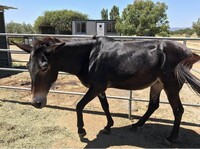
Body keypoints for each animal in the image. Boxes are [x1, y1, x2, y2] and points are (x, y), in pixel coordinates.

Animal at [11, 36, 199, 143]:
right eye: (27, 66)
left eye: (45, 67)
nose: (36, 102)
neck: (88, 56)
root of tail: (188, 51)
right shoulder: (99, 88)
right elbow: (105, 106)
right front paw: (108, 126)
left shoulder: (96, 87)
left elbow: (79, 105)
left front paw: (81, 130)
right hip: (157, 83)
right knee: (153, 105)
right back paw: (136, 125)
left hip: (171, 85)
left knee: (178, 110)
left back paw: (171, 138)